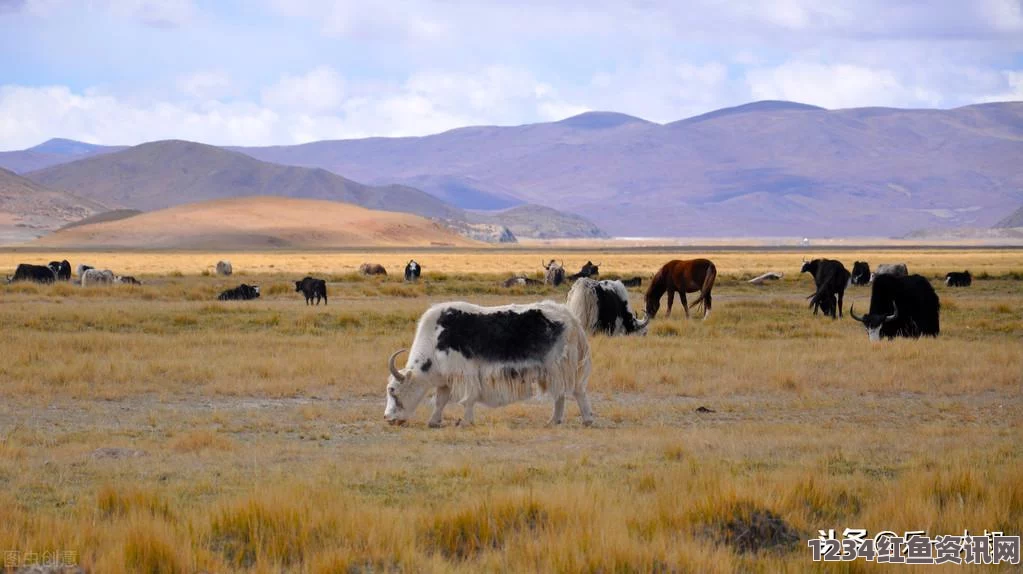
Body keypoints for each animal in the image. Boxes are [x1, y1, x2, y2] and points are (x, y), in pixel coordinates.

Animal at [384, 300, 593, 425]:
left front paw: (466, 422)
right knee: (562, 393)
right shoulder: (446, 378)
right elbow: (440, 400)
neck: (435, 338)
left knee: (574, 391)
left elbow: (468, 399)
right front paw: (434, 422)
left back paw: (581, 420)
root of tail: (570, 317)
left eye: (393, 391)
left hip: (559, 366)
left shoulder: (465, 372)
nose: (387, 418)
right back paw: (558, 421)